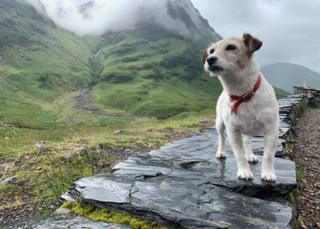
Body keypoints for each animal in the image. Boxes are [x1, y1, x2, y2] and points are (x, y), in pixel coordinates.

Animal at [204, 33, 278, 182]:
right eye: (211, 51)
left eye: (231, 47)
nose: (210, 59)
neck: (242, 94)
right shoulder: (233, 131)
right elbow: (239, 154)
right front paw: (244, 171)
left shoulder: (271, 130)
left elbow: (268, 155)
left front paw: (267, 173)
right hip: (219, 123)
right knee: (221, 138)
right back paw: (221, 151)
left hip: (248, 130)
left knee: (247, 141)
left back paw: (250, 154)